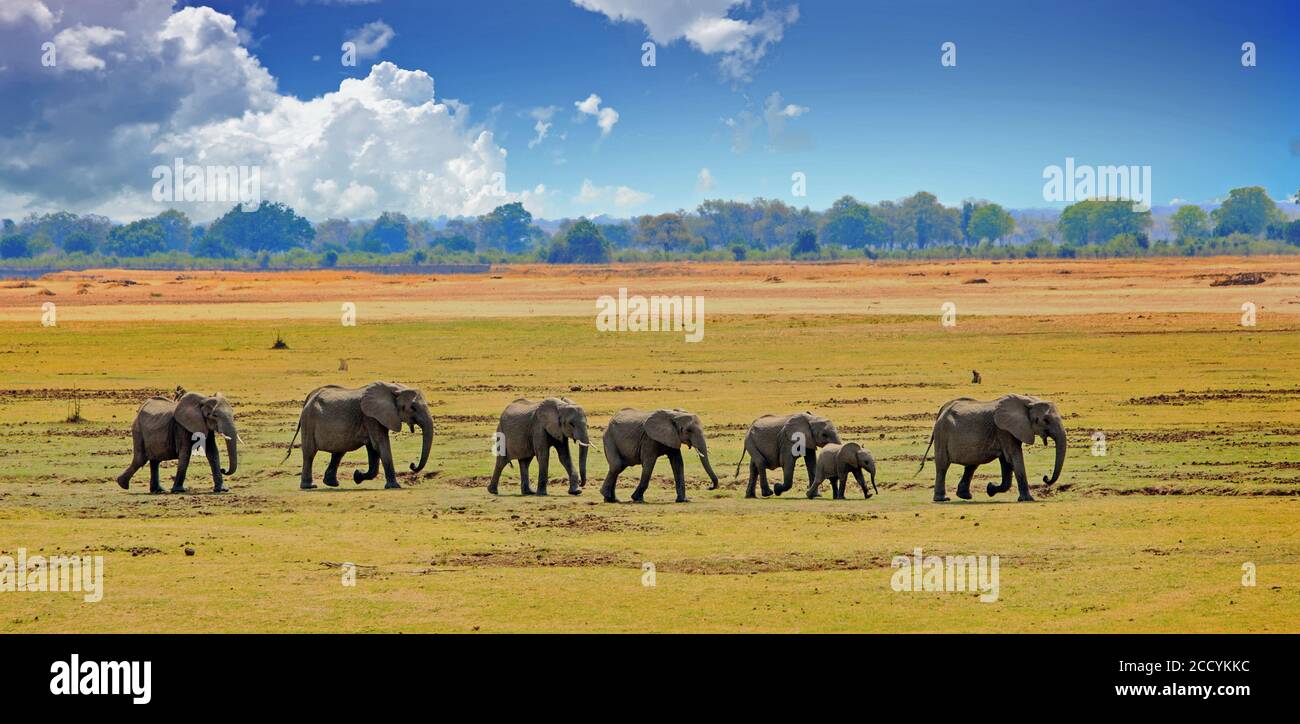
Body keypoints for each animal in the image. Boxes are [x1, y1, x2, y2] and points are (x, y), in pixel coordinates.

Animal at [284, 382, 431, 488]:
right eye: (413, 408)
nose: (412, 465)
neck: (394, 388)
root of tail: (309, 398)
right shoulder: (370, 417)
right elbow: (380, 444)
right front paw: (394, 486)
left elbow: (373, 448)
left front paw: (357, 476)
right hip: (309, 422)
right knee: (310, 453)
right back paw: (309, 486)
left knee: (339, 451)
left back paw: (332, 483)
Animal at [915, 395, 1066, 501]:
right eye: (1045, 420)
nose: (1045, 478)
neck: (1028, 401)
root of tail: (942, 410)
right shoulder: (1003, 429)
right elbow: (1013, 457)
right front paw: (1028, 499)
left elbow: (1006, 461)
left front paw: (990, 489)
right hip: (942, 434)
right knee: (943, 466)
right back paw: (942, 499)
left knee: (972, 464)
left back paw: (965, 496)